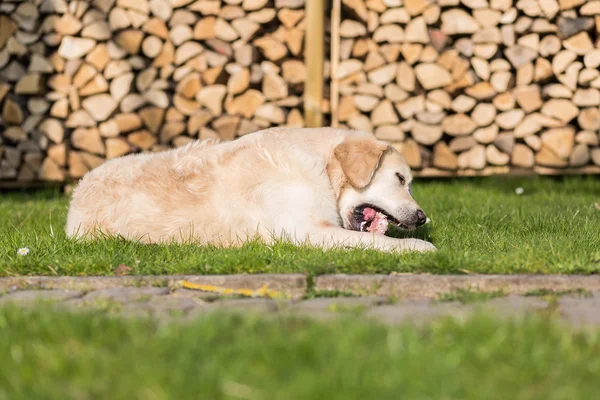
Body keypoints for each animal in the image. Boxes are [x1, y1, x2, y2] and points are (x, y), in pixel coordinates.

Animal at [67, 127, 436, 253]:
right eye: (400, 179)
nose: (422, 218)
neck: (319, 164)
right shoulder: (306, 231)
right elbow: (377, 242)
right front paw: (421, 247)